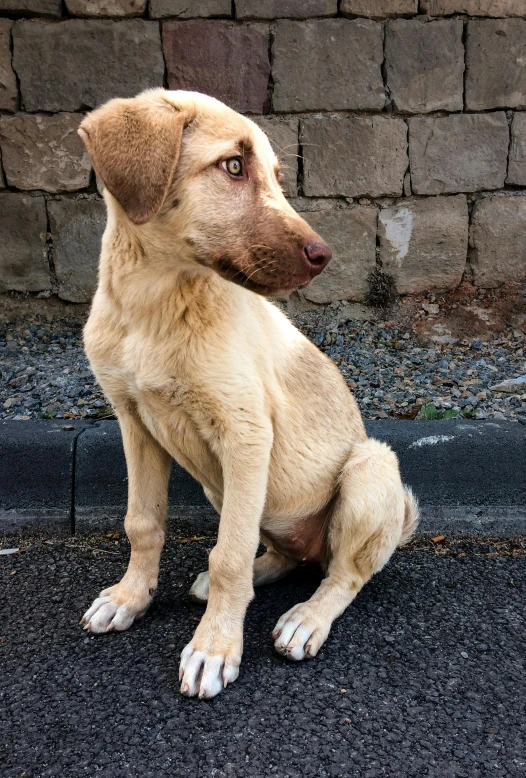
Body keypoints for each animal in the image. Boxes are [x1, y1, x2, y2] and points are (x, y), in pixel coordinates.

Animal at [78, 89, 418, 696]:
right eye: (233, 166)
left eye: (278, 175)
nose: (324, 255)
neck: (154, 304)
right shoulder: (135, 421)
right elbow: (144, 523)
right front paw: (130, 598)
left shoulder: (245, 434)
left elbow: (228, 556)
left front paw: (214, 648)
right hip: (224, 488)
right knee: (283, 552)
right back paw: (262, 574)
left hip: (369, 468)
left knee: (343, 575)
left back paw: (307, 618)